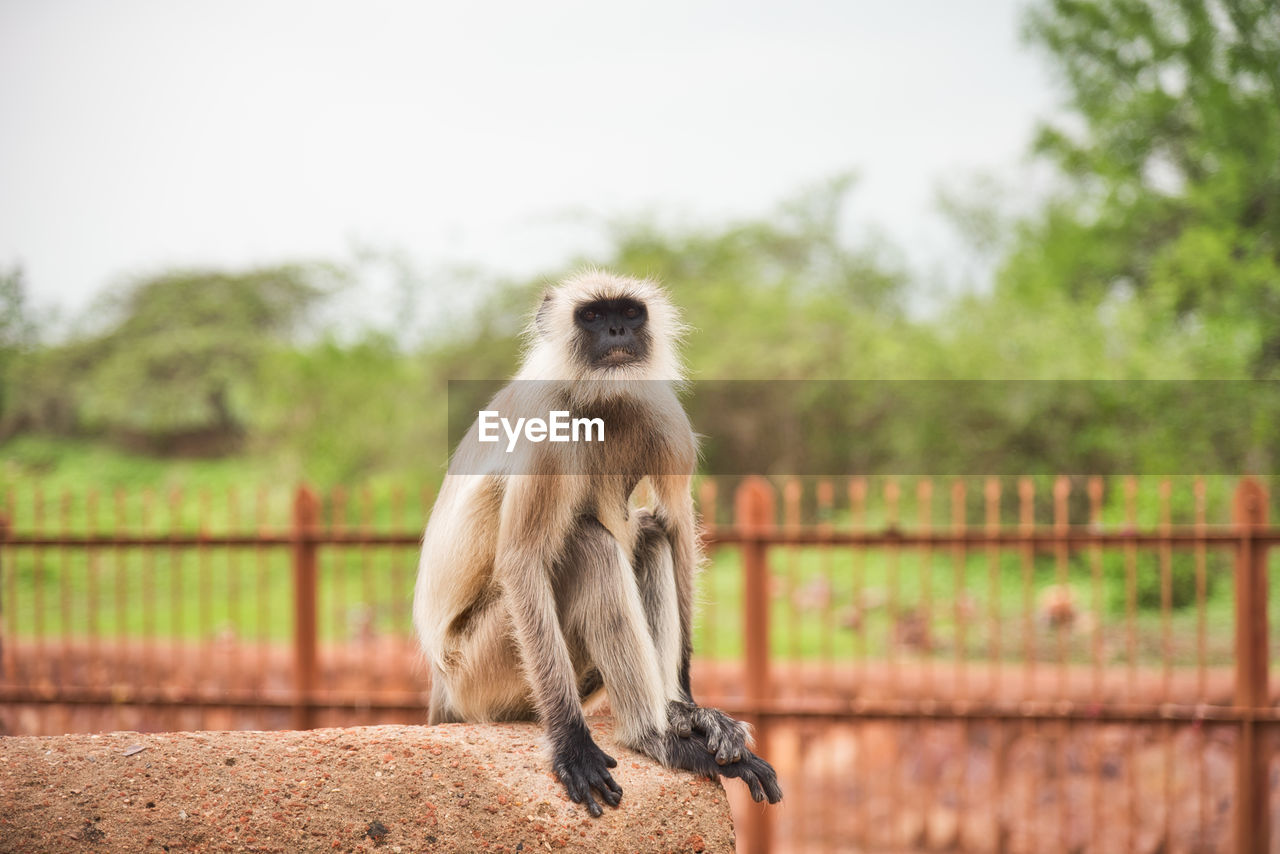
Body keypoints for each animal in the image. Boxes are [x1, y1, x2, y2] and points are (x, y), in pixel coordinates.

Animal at [414, 270, 783, 819]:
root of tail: (442, 687)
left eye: (628, 313)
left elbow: (675, 527)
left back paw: (673, 715)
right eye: (591, 315)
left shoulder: (664, 416)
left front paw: (690, 704)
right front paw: (572, 744)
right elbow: (522, 561)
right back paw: (652, 736)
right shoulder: (546, 425)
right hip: (482, 673)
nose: (615, 331)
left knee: (648, 535)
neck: (599, 399)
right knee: (590, 545)